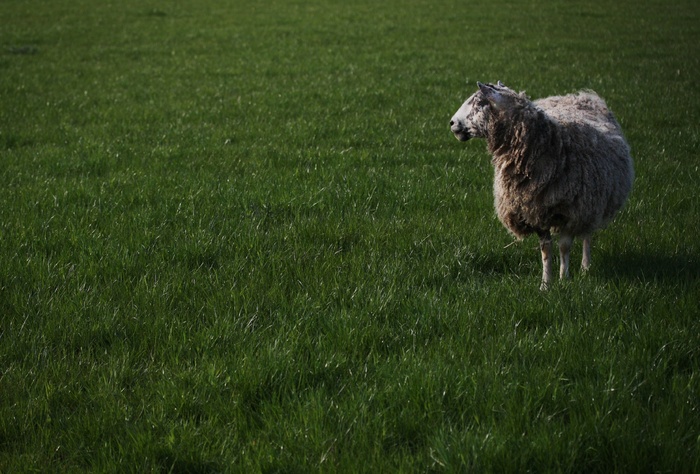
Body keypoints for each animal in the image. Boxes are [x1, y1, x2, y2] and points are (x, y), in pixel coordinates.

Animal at [448, 82, 636, 288]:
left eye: (477, 102)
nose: (452, 123)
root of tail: (581, 95)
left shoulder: (569, 211)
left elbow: (564, 246)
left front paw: (564, 278)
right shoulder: (534, 211)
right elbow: (545, 249)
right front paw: (546, 284)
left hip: (591, 204)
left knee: (587, 234)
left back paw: (586, 267)